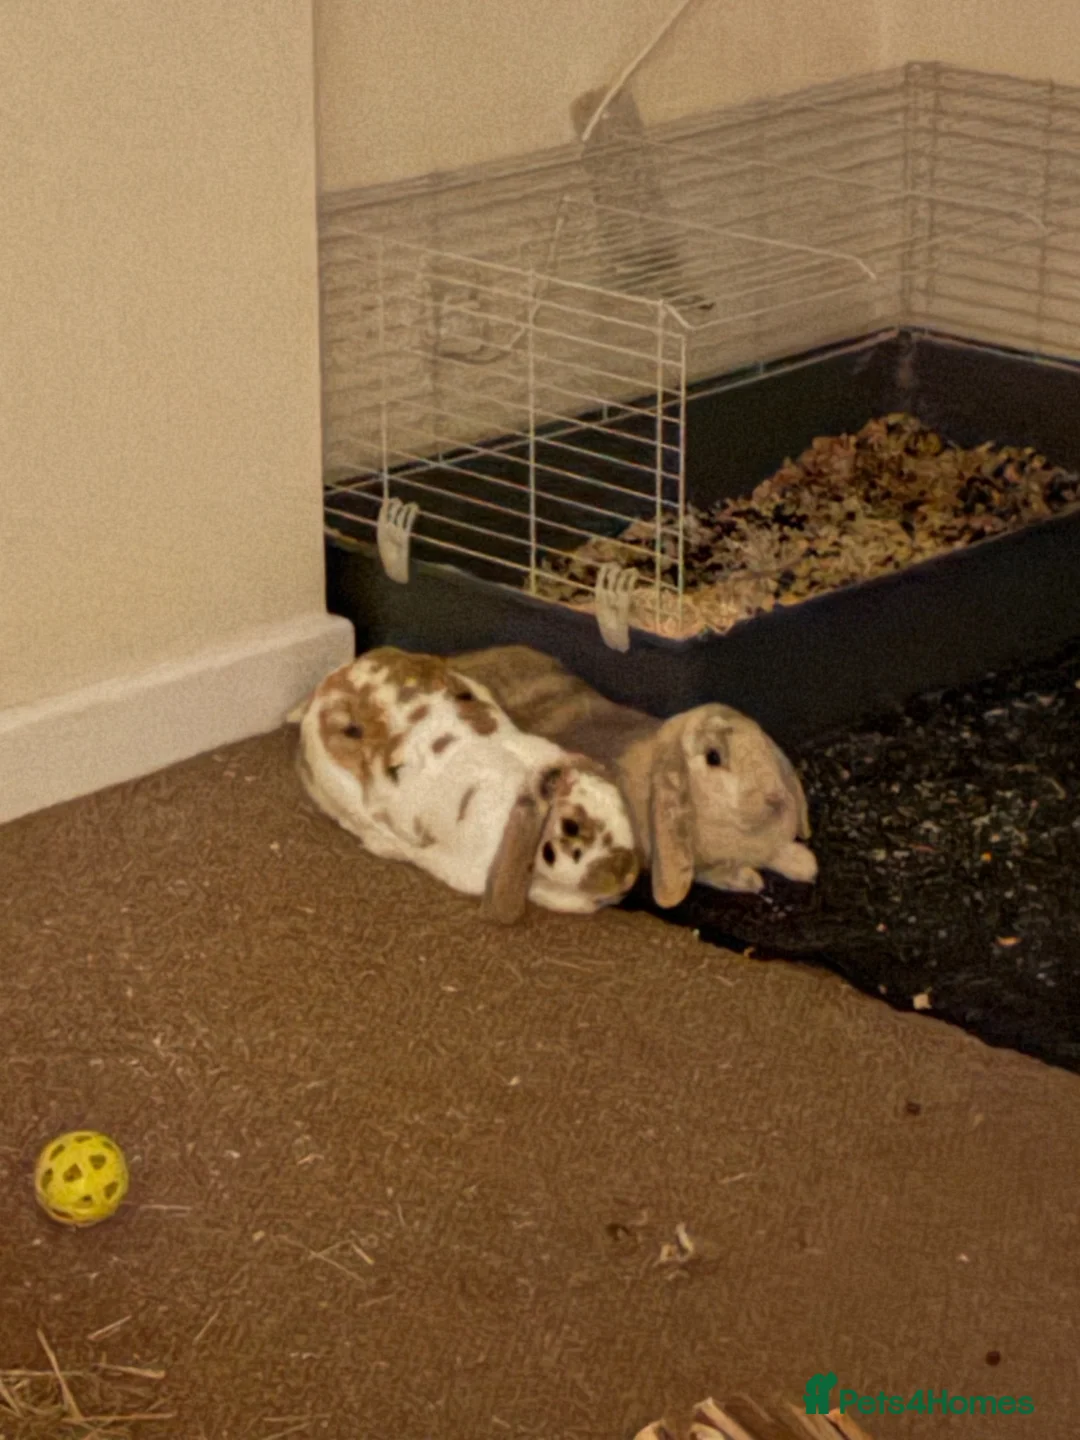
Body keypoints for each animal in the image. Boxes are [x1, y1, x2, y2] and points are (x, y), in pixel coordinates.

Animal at [449, 645, 818, 908]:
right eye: (714, 758)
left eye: (761, 739)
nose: (773, 794)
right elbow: (712, 872)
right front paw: (750, 879)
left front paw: (805, 864)